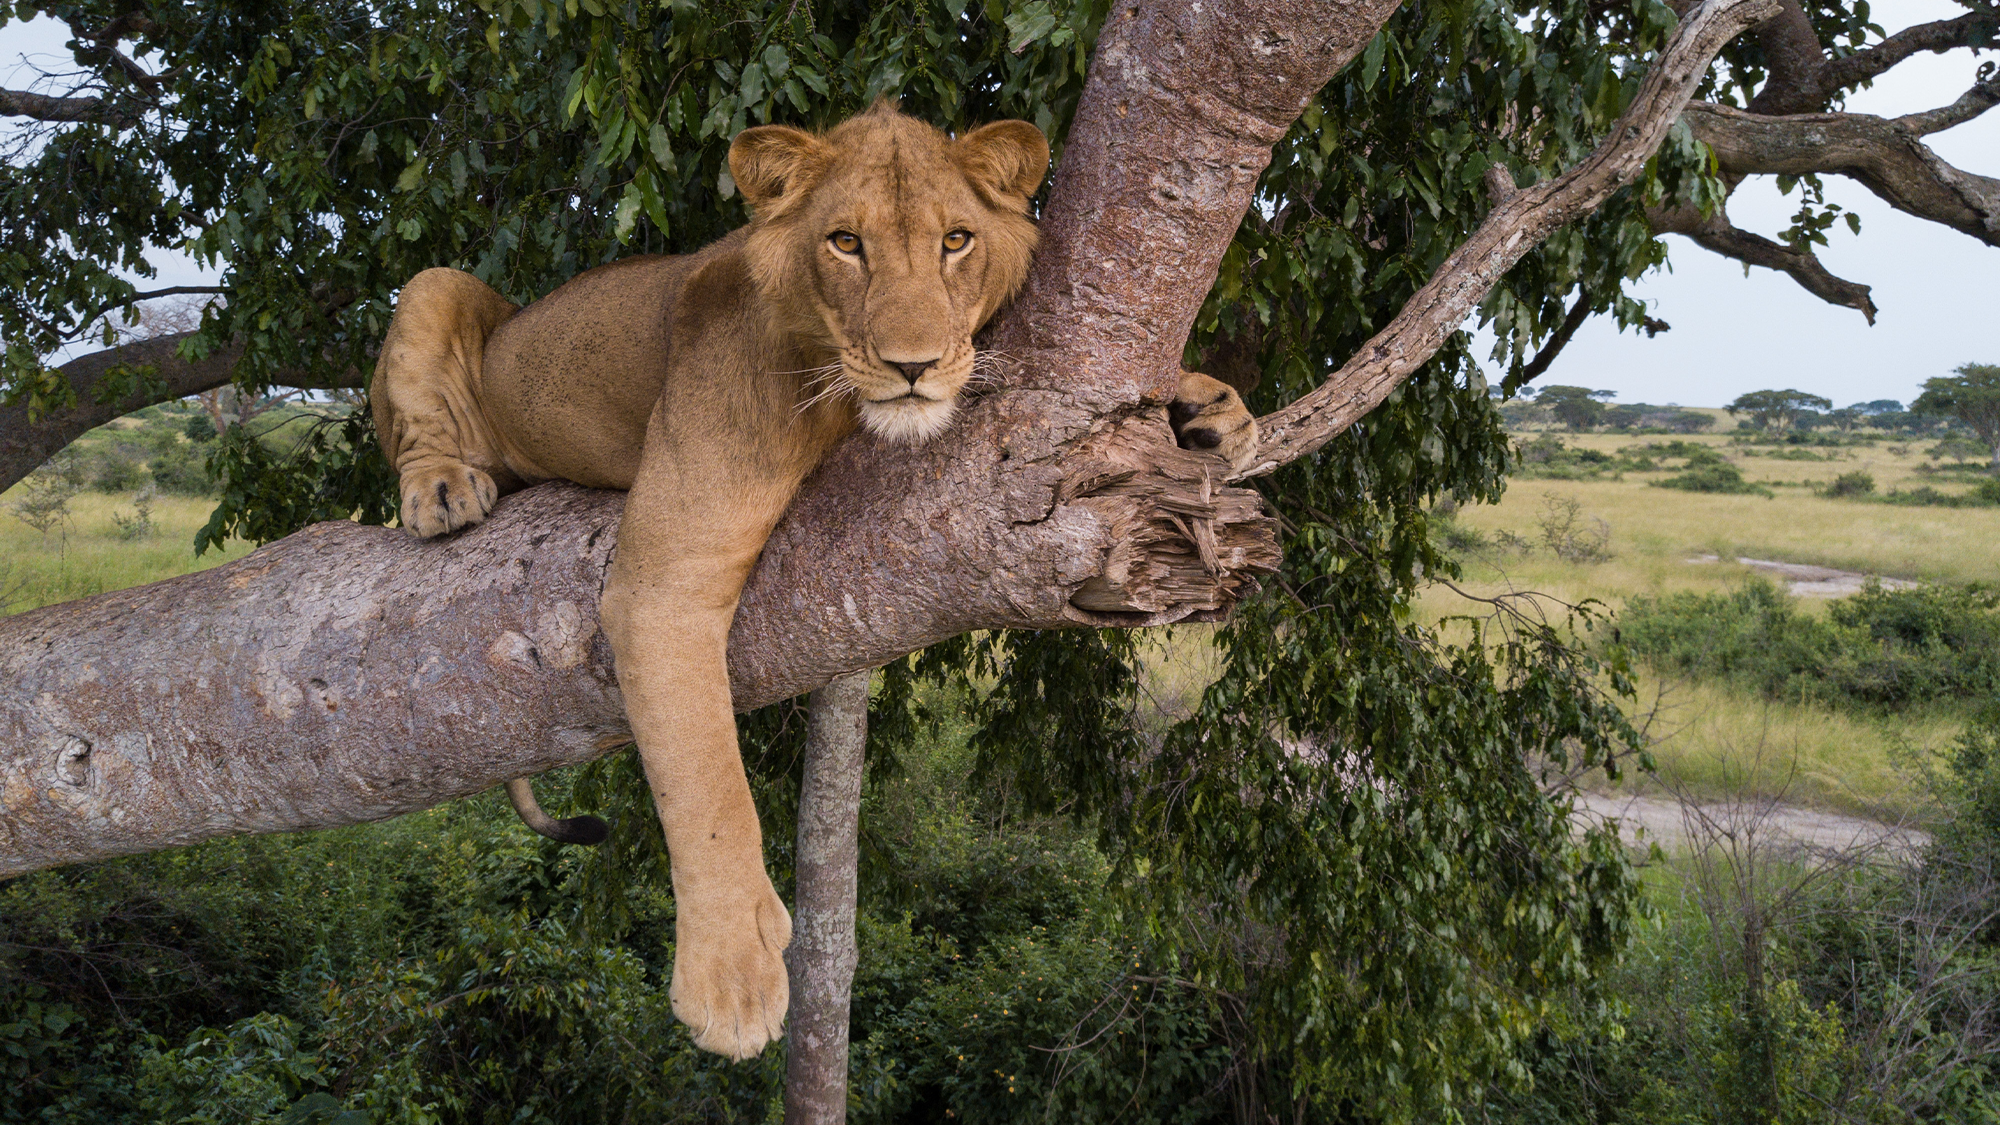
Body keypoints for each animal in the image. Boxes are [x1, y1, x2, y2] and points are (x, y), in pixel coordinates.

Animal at [368, 100, 1256, 1056]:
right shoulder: (662, 584)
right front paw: (731, 974)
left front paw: (1210, 406)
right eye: (844, 243)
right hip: (434, 286)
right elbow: (706, 776)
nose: (913, 366)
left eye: (956, 240)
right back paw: (443, 489)